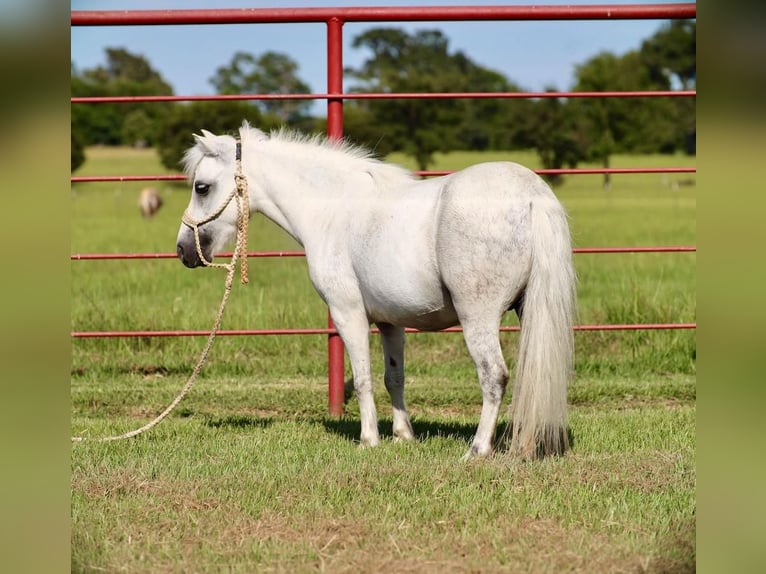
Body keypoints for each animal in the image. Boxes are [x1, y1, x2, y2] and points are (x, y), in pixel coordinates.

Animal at [178, 124, 576, 462]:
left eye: (202, 187)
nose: (183, 251)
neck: (332, 210)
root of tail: (533, 196)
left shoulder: (348, 313)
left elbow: (363, 378)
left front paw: (369, 440)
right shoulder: (390, 322)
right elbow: (393, 377)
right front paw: (403, 436)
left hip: (478, 317)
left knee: (494, 375)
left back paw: (477, 450)